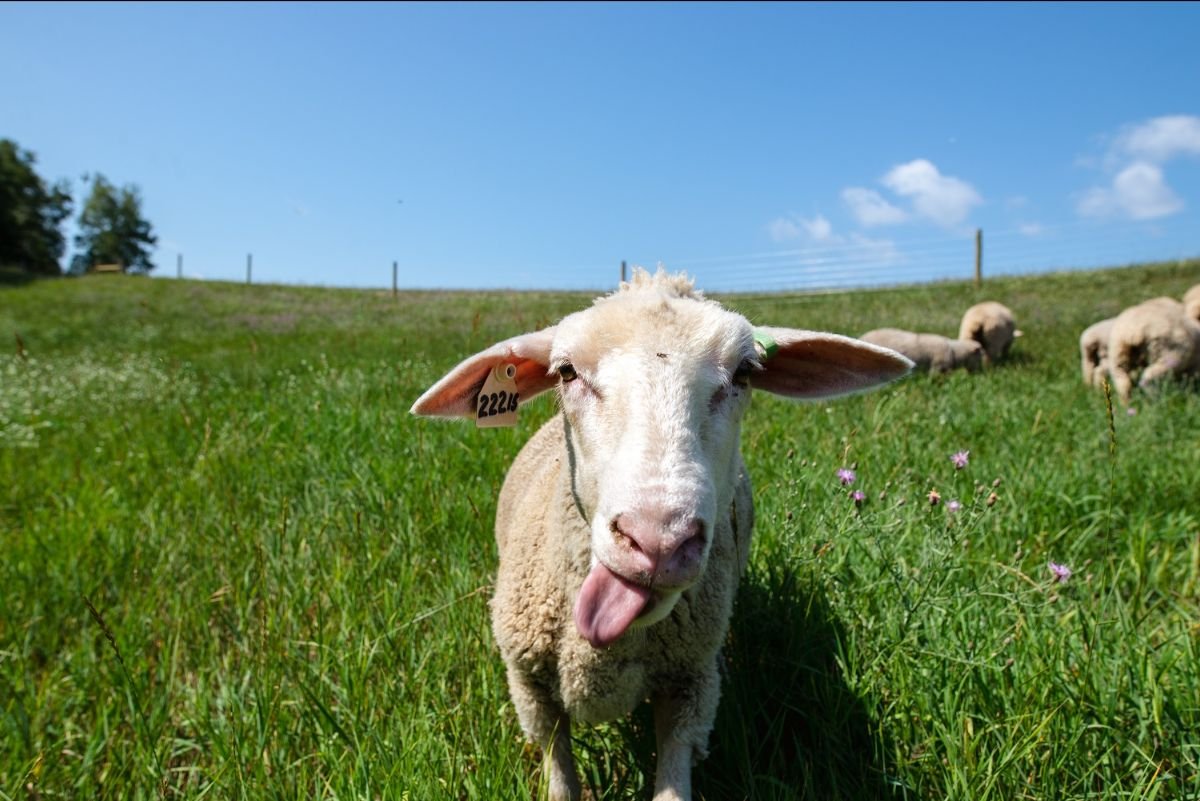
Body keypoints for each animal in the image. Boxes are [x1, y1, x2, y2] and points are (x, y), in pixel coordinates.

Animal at [411, 268, 913, 801]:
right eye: (566, 372)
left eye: (744, 373)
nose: (658, 542)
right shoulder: (530, 691)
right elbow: (560, 777)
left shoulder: (691, 690)